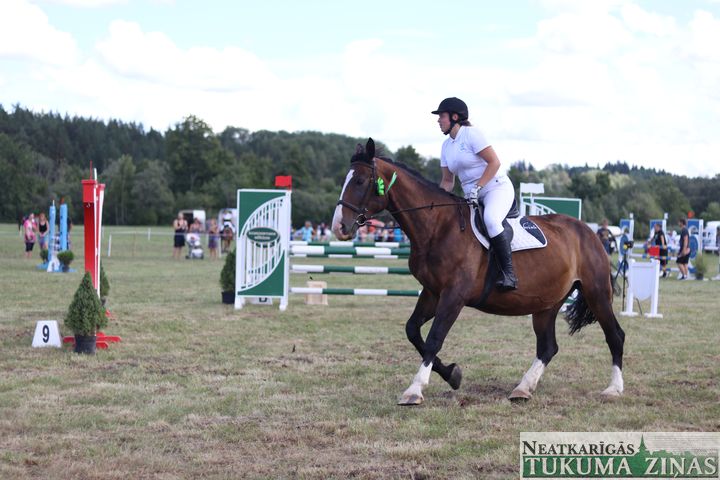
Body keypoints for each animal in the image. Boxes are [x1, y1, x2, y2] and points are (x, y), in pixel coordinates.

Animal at [331, 139, 625, 405]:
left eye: (360, 181)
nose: (339, 227)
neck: (438, 227)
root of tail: (590, 232)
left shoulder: (454, 295)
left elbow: (434, 338)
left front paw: (415, 390)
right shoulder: (432, 292)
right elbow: (413, 331)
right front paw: (452, 374)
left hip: (596, 292)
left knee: (615, 335)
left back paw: (613, 389)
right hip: (547, 303)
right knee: (547, 347)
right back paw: (523, 388)